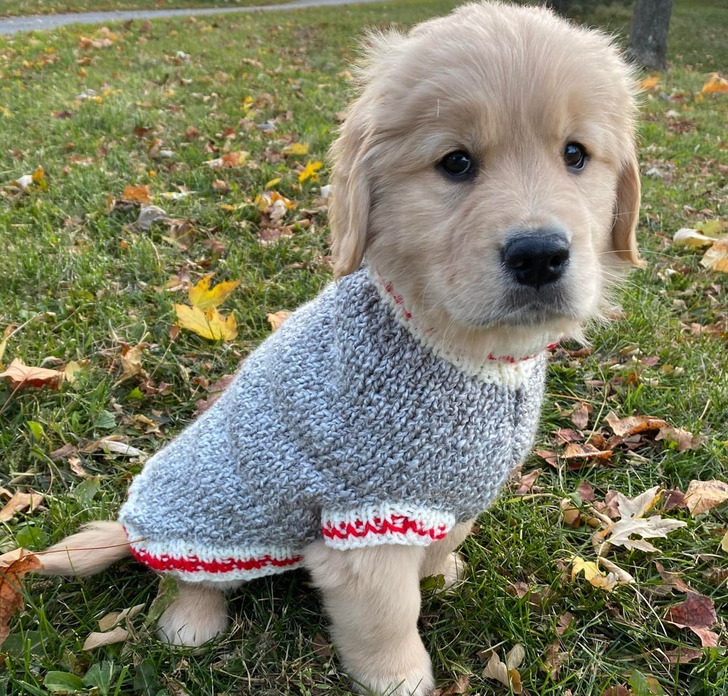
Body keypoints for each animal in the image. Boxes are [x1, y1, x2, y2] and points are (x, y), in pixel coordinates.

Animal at [36, 2, 641, 694]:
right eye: (456, 163)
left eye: (576, 154)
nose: (539, 254)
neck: (463, 347)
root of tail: (132, 524)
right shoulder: (365, 522)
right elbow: (388, 620)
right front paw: (401, 679)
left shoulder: (440, 499)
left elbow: (442, 545)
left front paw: (441, 573)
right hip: (203, 524)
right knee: (179, 579)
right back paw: (191, 622)